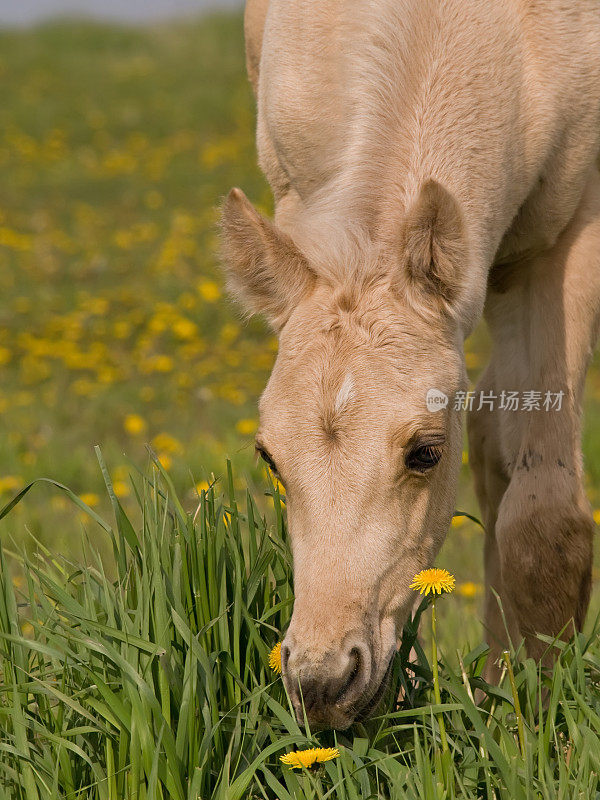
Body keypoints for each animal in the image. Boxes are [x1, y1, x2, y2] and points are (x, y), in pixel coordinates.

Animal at [220, 0, 600, 728]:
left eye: (425, 453)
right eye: (269, 459)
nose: (321, 683)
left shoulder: (564, 238)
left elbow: (545, 527)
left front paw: (533, 732)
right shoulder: (297, 195)